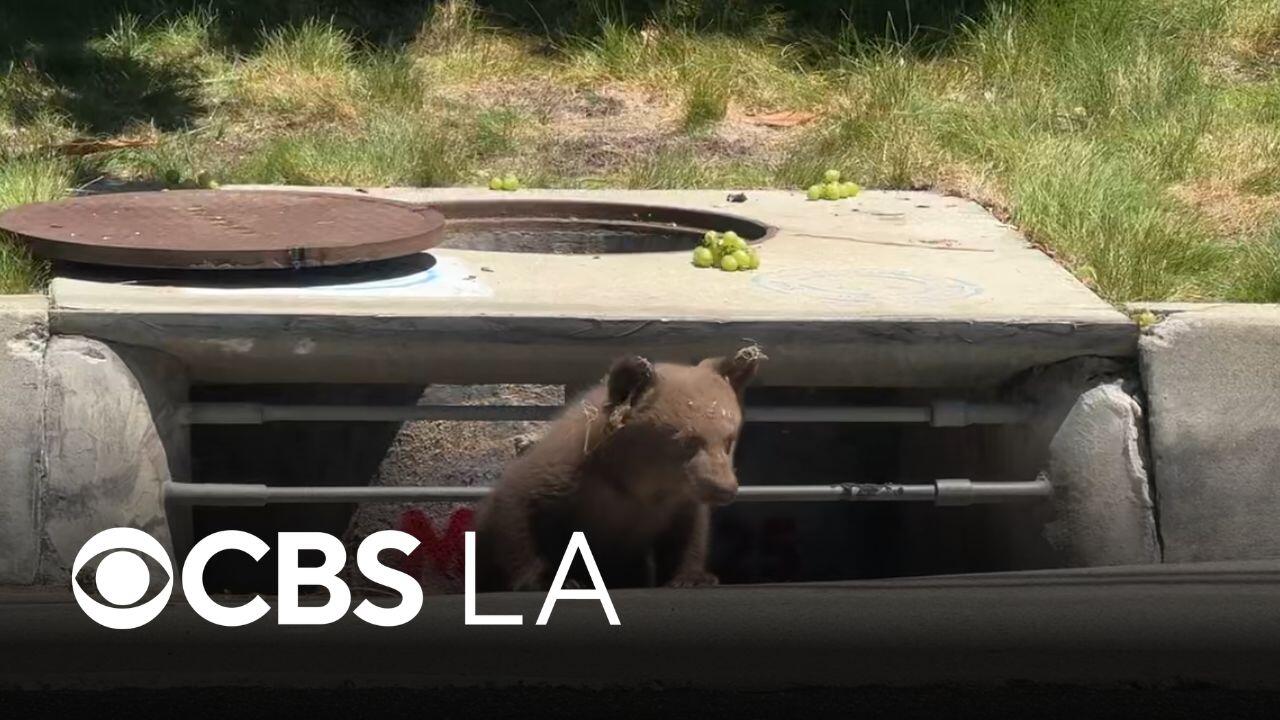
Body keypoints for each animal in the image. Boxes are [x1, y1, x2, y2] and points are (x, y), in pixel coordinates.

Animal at [472, 345, 765, 592]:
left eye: (728, 439)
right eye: (686, 440)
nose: (724, 488)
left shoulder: (674, 503)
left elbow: (688, 533)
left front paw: (692, 577)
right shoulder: (562, 475)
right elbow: (517, 511)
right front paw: (555, 580)